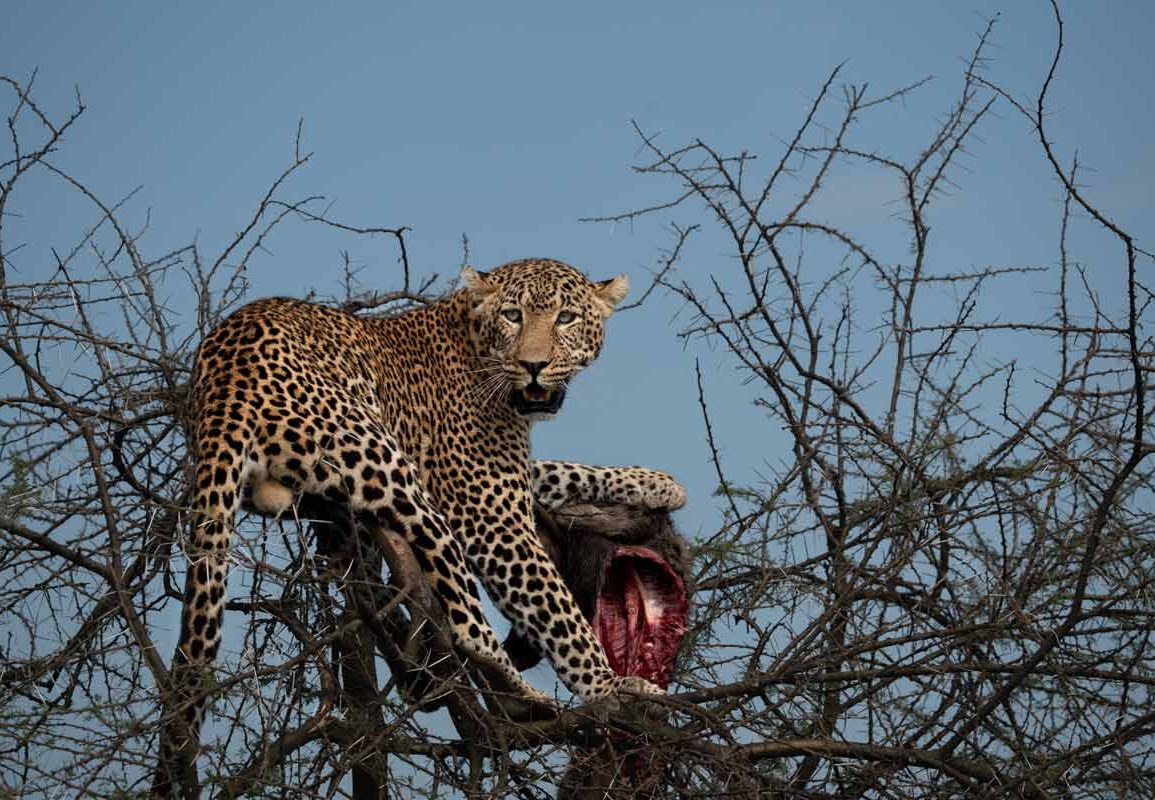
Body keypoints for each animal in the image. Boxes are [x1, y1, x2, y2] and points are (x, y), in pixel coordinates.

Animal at [161, 257, 683, 784]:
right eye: (513, 316)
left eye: (566, 318)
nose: (533, 365)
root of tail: (224, 381)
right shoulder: (486, 508)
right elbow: (559, 614)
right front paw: (611, 687)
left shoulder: (503, 474)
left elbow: (559, 469)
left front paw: (657, 483)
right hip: (389, 467)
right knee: (468, 624)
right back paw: (520, 699)